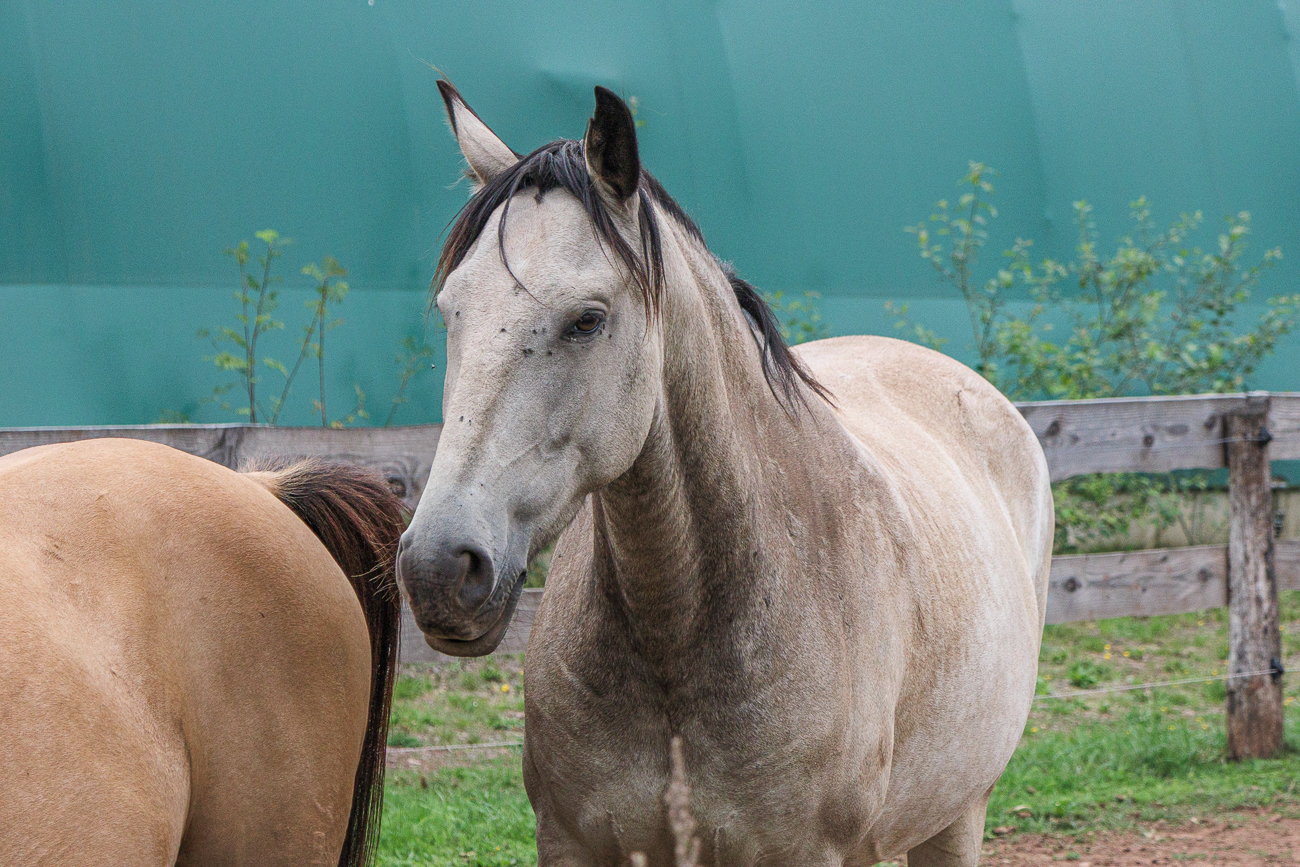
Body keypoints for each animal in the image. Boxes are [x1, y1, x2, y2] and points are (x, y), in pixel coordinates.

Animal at [397, 82, 1053, 867]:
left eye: (587, 319)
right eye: (451, 311)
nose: (438, 567)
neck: (677, 637)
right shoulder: (573, 842)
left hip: (957, 815)